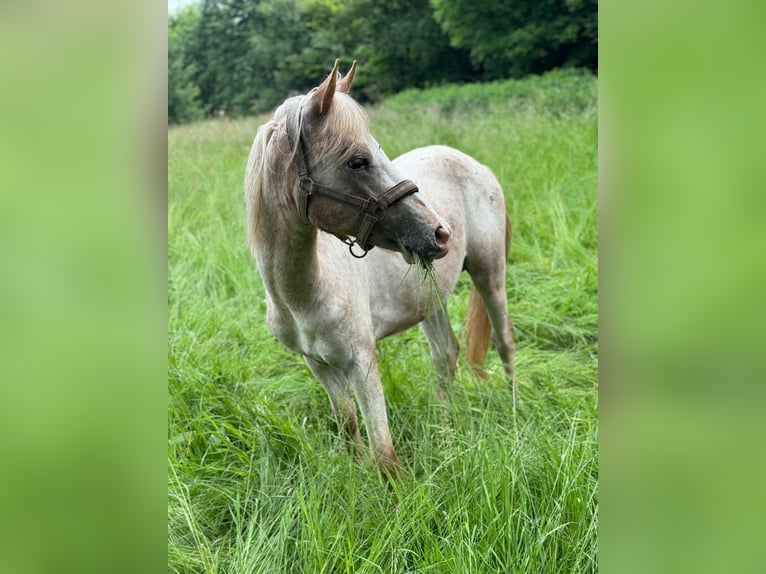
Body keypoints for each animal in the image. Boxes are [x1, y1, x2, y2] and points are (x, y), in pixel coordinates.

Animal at [243, 60, 516, 480]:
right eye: (357, 160)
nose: (440, 233)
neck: (306, 294)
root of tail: (474, 163)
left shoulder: (361, 362)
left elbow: (384, 453)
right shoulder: (320, 366)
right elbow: (348, 427)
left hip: (489, 272)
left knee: (504, 342)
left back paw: (516, 412)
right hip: (429, 298)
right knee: (446, 353)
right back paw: (444, 421)